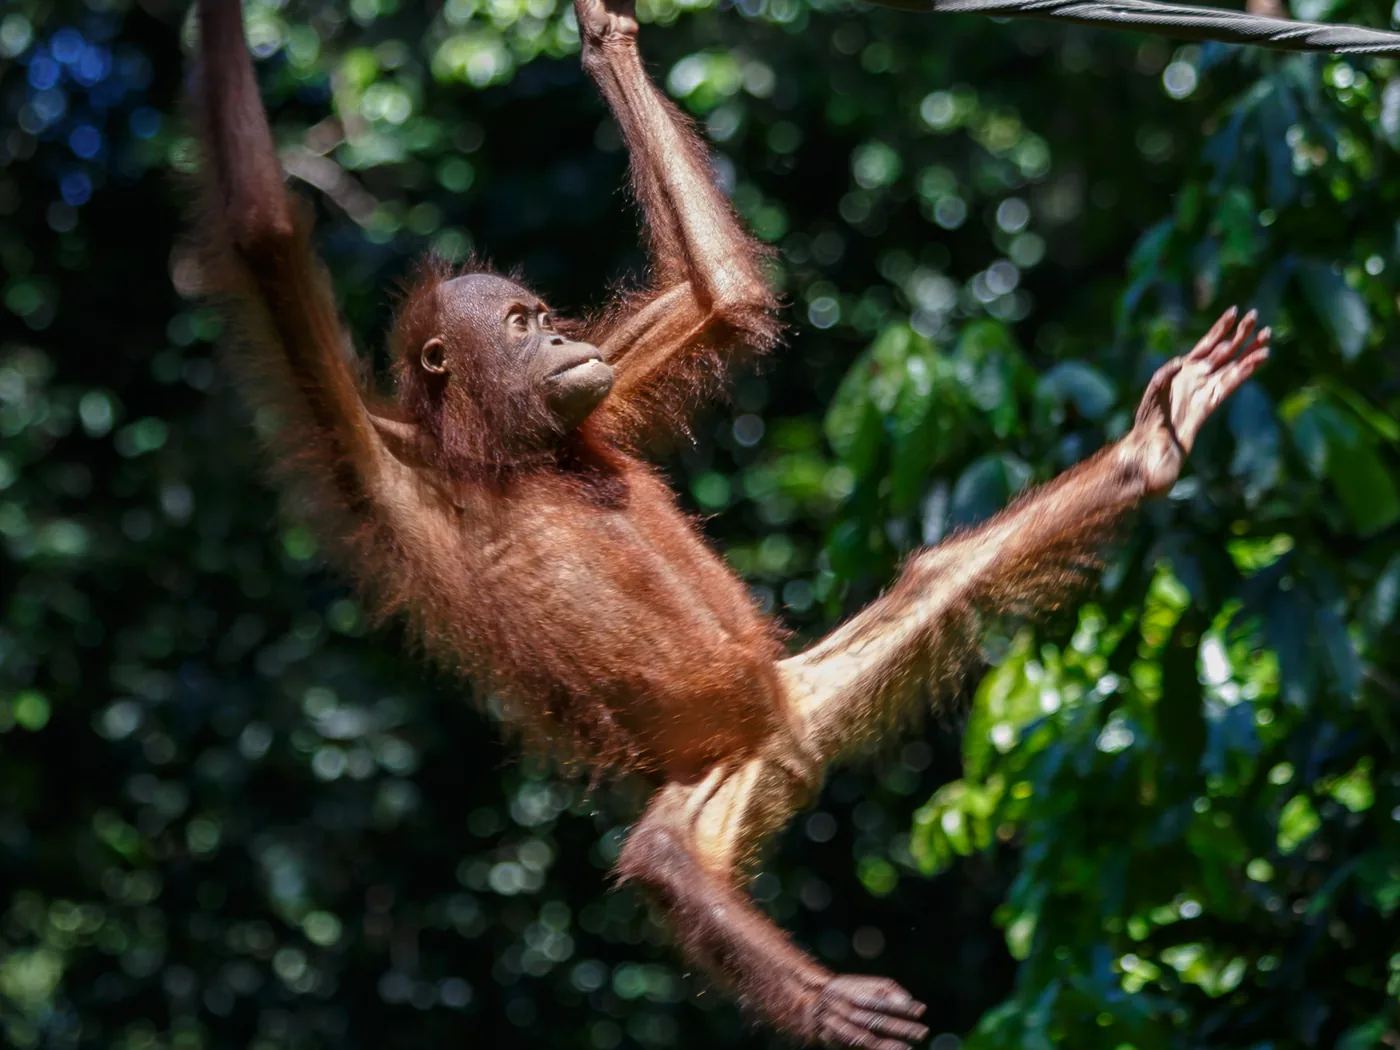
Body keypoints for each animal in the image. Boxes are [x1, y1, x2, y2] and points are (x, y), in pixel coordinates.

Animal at [190, 0, 1272, 1043]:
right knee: (662, 858)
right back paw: (817, 995)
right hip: (710, 783)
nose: (562, 341)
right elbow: (264, 238)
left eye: (543, 317)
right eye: (516, 327)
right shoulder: (376, 454)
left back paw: (1148, 450)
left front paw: (605, 36)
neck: (508, 451)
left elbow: (721, 300)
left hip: (811, 693)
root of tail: (783, 745)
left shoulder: (604, 397)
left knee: (944, 580)